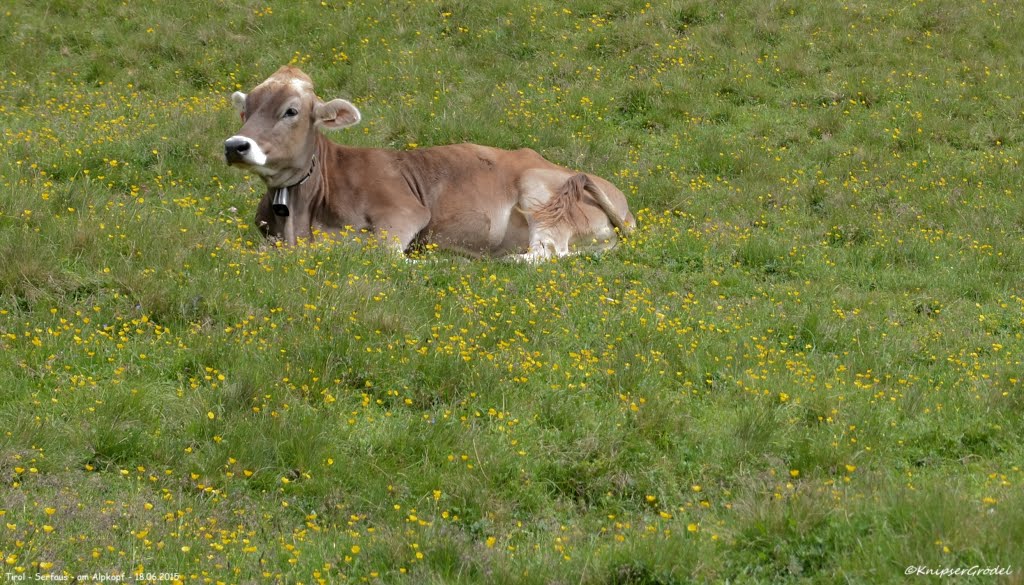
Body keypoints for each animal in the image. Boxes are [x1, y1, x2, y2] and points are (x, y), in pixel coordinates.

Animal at [224, 66, 630, 261]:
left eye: (291, 111)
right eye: (246, 109)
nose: (235, 145)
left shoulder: (404, 212)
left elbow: (382, 255)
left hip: (541, 194)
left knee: (546, 254)